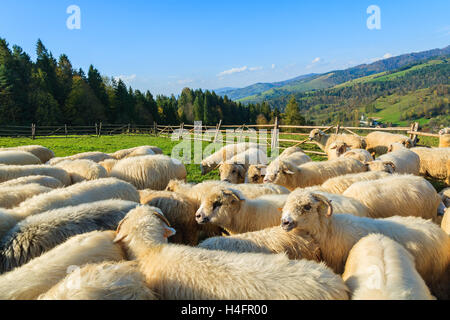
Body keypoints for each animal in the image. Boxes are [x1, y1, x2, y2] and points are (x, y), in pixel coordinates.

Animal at [282, 188, 450, 300]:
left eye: (307, 206)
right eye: (286, 205)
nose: (285, 222)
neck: (329, 231)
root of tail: (436, 228)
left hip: (436, 278)